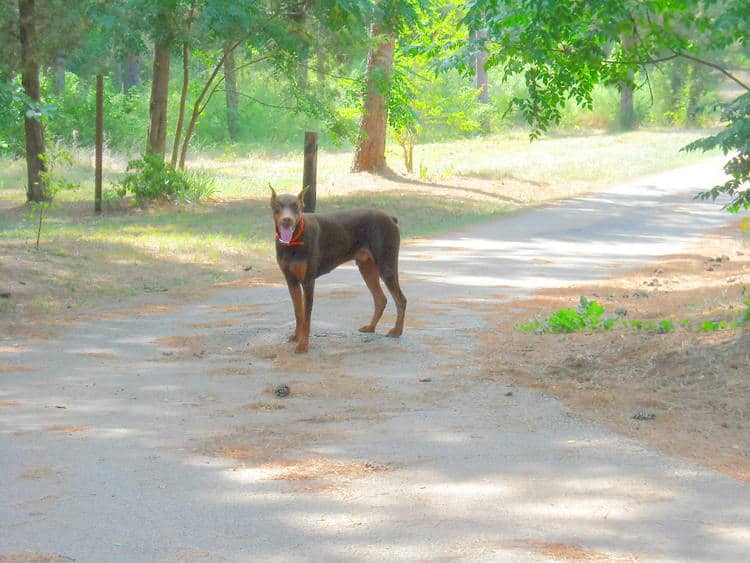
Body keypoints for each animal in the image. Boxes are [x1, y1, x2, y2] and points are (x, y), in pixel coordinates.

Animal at [274, 187, 408, 352]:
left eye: (296, 207)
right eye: (278, 206)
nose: (287, 220)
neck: (294, 239)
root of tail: (391, 218)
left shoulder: (308, 281)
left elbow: (307, 316)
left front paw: (303, 344)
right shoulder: (290, 280)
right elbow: (298, 313)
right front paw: (296, 336)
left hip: (386, 266)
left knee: (401, 300)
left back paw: (397, 331)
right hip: (367, 269)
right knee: (380, 299)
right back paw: (371, 327)